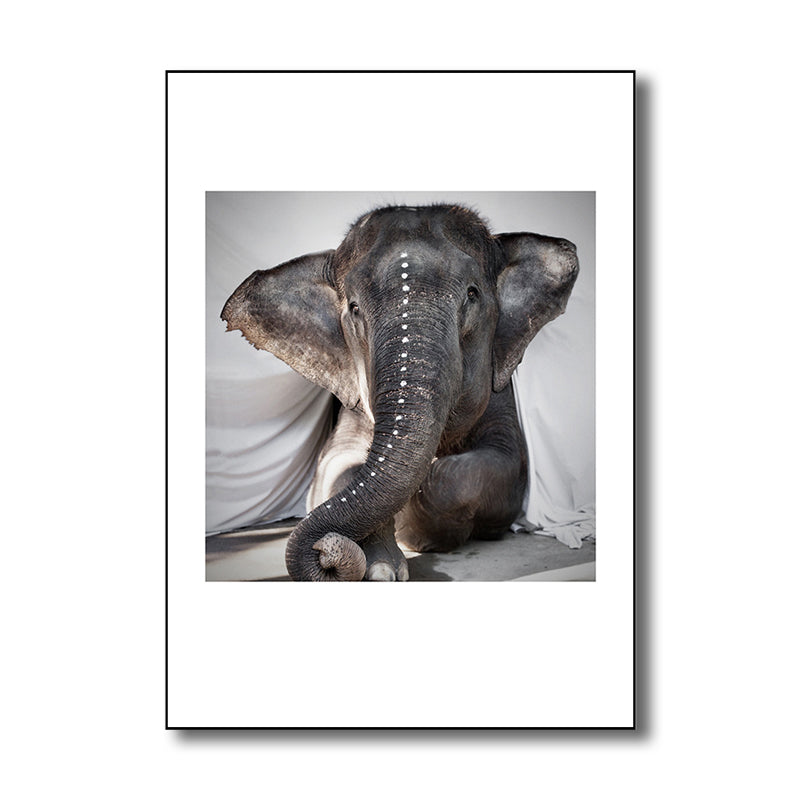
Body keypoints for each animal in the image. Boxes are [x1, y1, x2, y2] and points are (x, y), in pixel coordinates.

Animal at [221, 204, 579, 581]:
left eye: (472, 294)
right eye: (354, 308)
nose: (324, 552)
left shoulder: (501, 395)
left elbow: (498, 464)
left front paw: (415, 530)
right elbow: (335, 466)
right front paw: (380, 568)